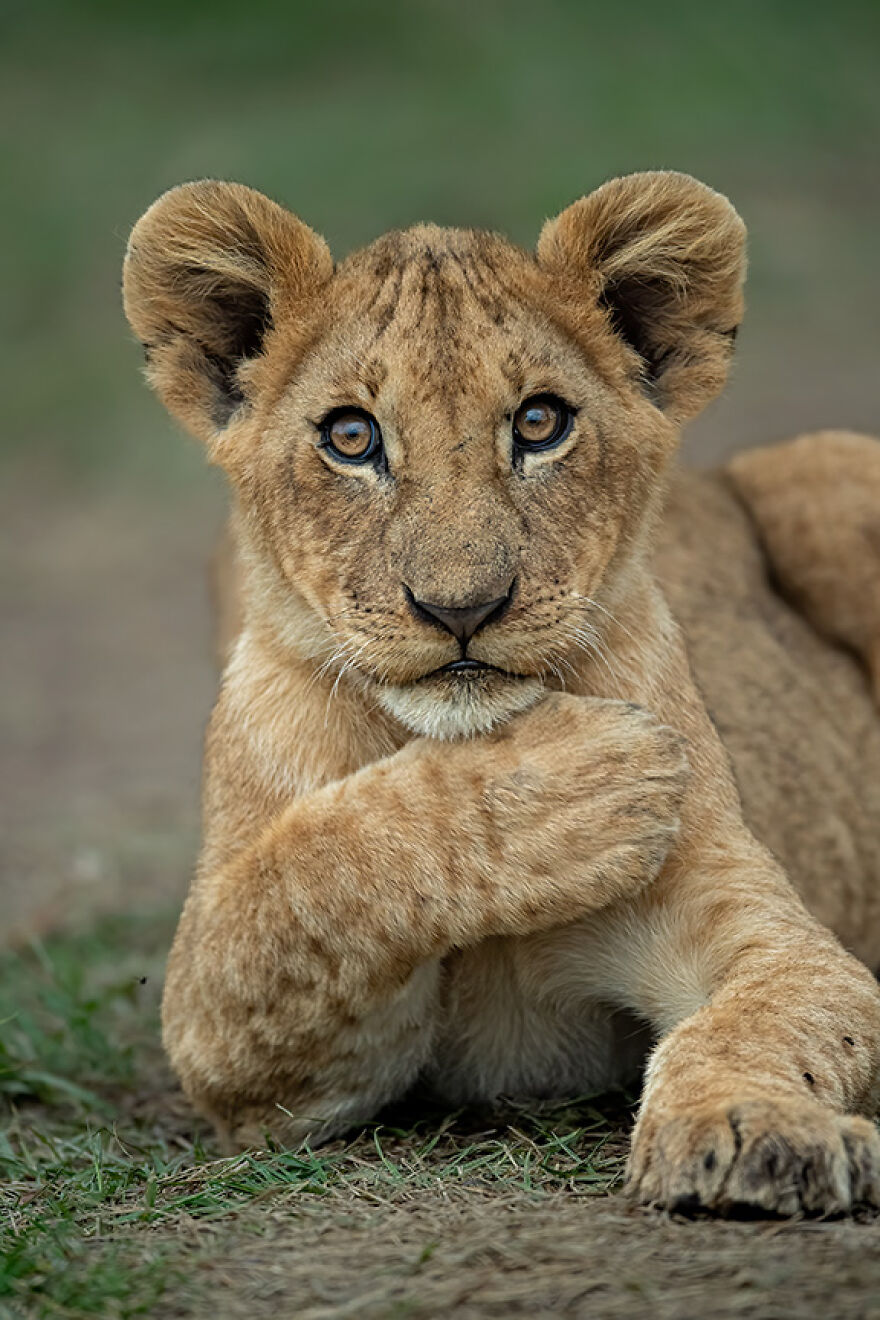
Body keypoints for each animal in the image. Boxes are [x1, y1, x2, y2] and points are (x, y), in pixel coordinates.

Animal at [123, 171, 880, 1217]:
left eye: (539, 423)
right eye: (351, 437)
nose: (461, 608)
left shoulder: (764, 933)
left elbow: (767, 1020)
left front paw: (750, 1125)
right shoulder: (242, 1057)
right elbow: (308, 883)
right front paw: (586, 777)